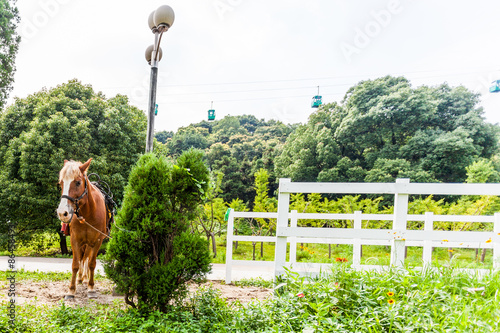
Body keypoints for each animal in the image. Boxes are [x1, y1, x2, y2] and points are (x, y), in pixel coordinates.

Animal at [56, 158, 109, 298]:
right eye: (61, 183)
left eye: (78, 182)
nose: (62, 213)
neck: (88, 213)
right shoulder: (75, 240)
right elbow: (75, 263)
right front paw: (71, 290)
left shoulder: (97, 241)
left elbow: (91, 263)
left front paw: (91, 288)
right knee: (82, 258)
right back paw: (80, 278)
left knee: (86, 258)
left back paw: (85, 278)